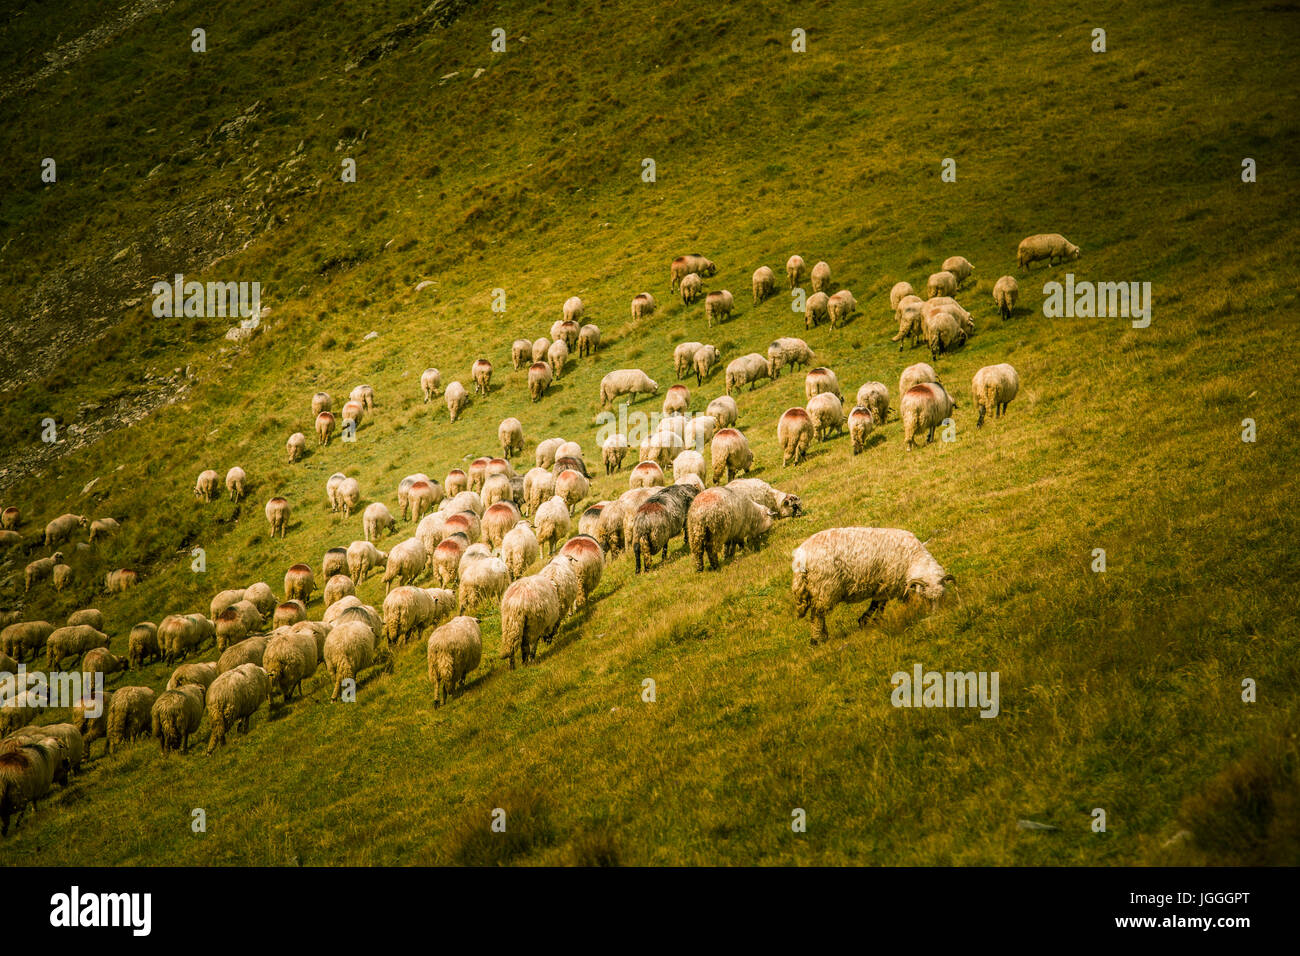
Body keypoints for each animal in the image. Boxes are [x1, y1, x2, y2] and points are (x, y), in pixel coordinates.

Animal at [792, 527, 954, 642]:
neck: (912, 558)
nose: (935, 616)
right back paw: (817, 640)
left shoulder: (888, 585)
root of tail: (800, 559)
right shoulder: (888, 583)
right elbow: (879, 604)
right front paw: (871, 621)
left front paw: (865, 621)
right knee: (817, 615)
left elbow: (877, 604)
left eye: (941, 597)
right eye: (926, 598)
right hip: (825, 587)